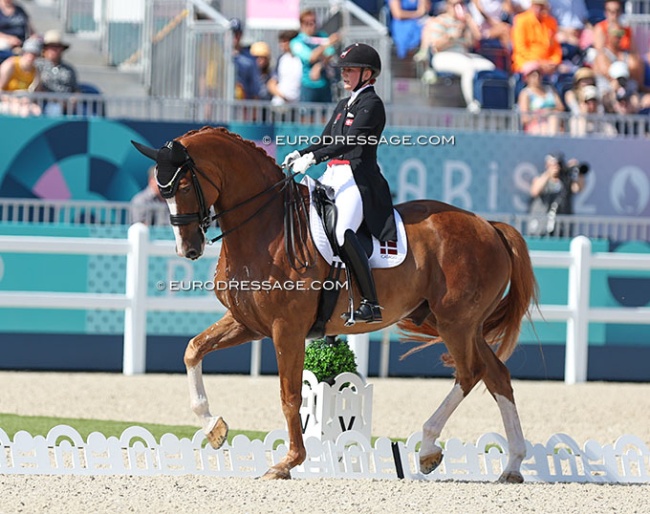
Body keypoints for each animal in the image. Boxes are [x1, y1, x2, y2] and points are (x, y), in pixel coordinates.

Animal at [132, 125, 536, 480]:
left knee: (469, 373)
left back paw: (427, 449)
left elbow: (290, 395)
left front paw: (288, 462)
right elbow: (193, 350)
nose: (188, 249)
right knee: (496, 375)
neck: (266, 226)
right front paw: (213, 428)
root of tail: (489, 226)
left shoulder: (287, 329)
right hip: (457, 323)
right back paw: (512, 465)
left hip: (456, 322)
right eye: (162, 190)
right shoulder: (247, 322)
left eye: (184, 185)